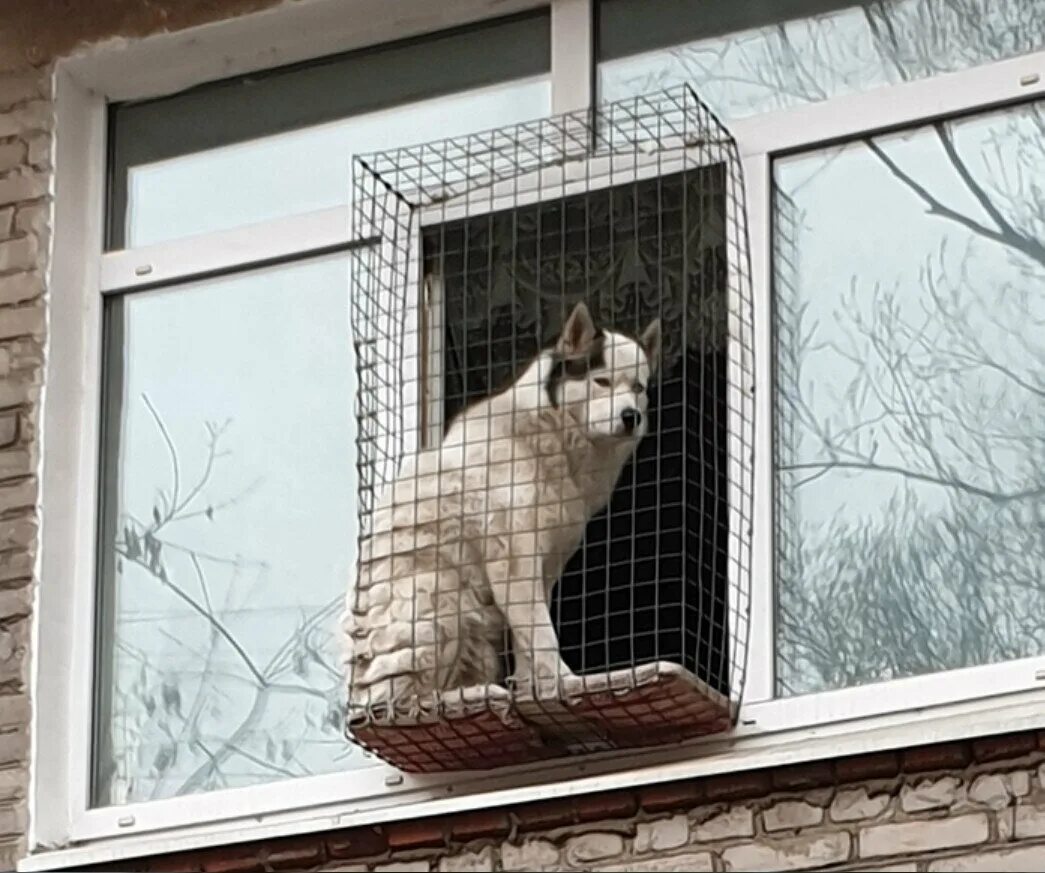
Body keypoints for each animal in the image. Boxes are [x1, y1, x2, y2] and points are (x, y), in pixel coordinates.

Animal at [346, 301, 664, 715]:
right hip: (436, 599)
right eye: (602, 382)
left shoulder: (542, 569)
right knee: (400, 702)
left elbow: (528, 641)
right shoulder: (514, 559)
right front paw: (566, 682)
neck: (550, 433)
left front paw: (535, 690)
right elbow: (544, 637)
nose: (631, 417)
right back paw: (469, 696)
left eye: (638, 388)